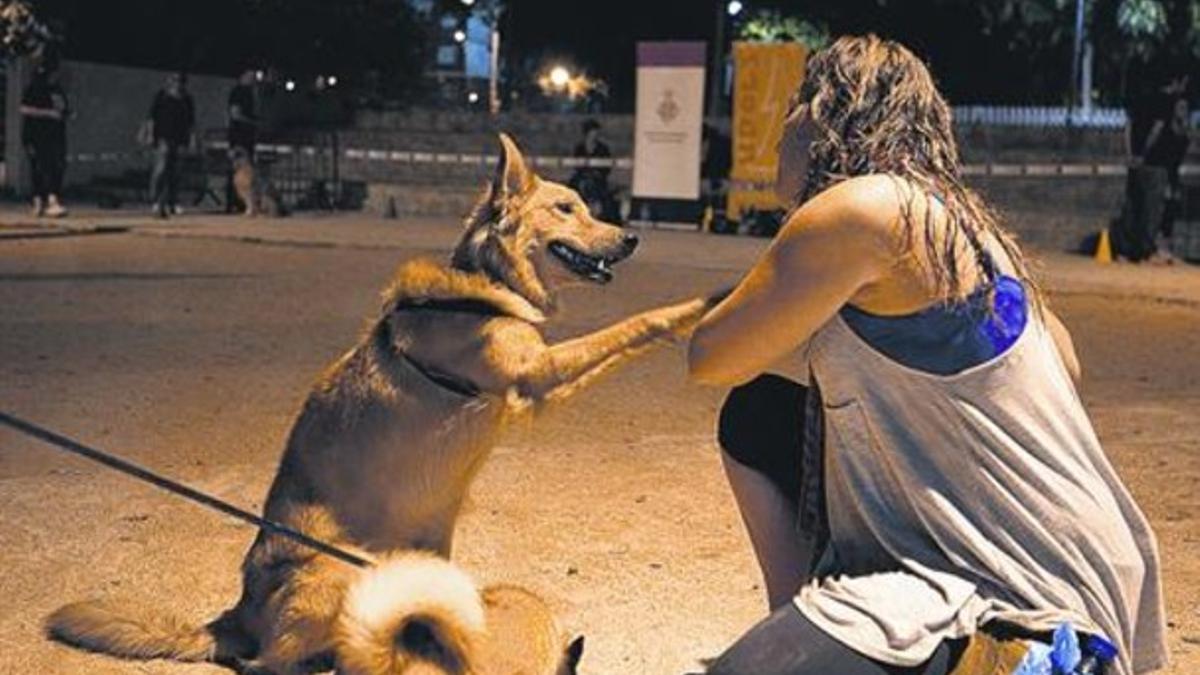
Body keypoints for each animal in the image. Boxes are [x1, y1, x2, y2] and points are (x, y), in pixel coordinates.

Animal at [46, 133, 715, 667]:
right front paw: (698, 307)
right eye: (566, 207)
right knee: (263, 664)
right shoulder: (538, 374)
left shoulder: (538, 380)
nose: (632, 237)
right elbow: (633, 324)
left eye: (585, 205)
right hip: (341, 566)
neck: (487, 284)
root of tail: (234, 615)